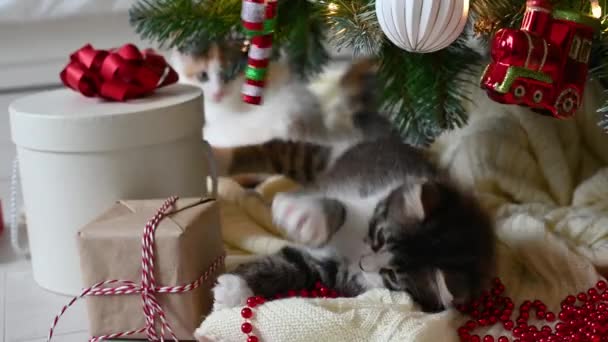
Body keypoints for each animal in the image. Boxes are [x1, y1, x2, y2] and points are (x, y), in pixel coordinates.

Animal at [203, 62, 494, 318]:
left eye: (392, 276)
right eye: (377, 237)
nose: (365, 263)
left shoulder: (338, 274)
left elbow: (296, 266)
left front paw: (234, 290)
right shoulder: (363, 193)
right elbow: (339, 208)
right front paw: (305, 219)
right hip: (327, 157)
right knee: (278, 150)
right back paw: (218, 155)